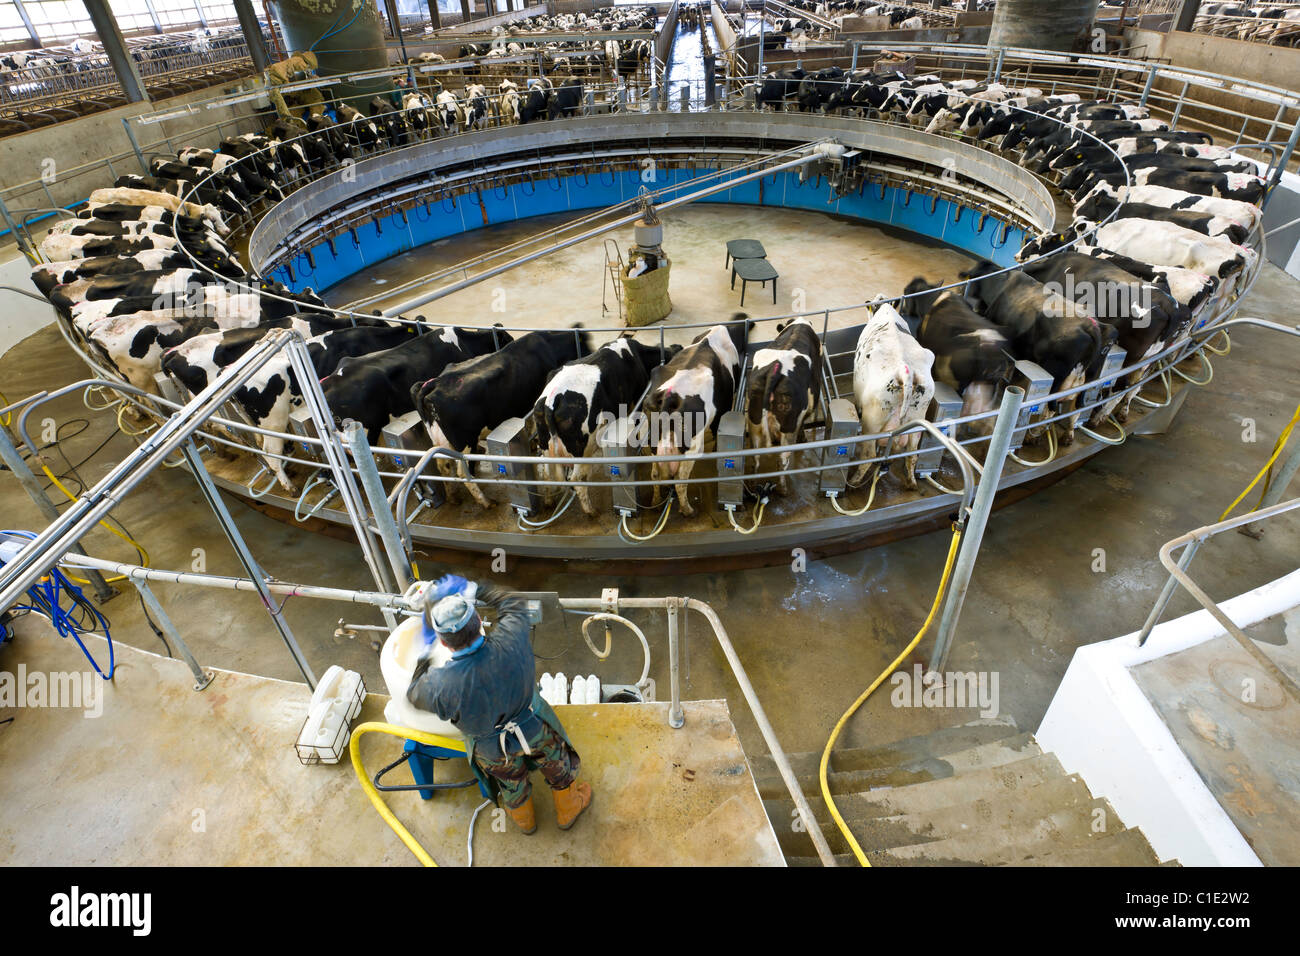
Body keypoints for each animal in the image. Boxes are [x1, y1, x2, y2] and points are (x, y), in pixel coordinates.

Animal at [413, 329, 592, 509]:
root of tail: (433, 384)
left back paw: (453, 497)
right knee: (463, 472)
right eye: (585, 343)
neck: (548, 346)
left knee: (443, 465)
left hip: (440, 440)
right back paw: (485, 501)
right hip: (466, 442)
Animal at [527, 335, 676, 515]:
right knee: (577, 480)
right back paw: (591, 511)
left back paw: (549, 501)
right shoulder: (636, 403)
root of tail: (552, 399)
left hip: (546, 446)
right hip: (581, 450)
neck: (636, 355)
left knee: (546, 473)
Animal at [642, 319, 748, 515]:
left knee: (655, 474)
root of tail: (669, 395)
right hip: (692, 446)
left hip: (653, 439)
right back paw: (688, 511)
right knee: (681, 480)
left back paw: (656, 502)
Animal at [748, 319, 816, 494]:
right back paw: (784, 489)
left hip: (754, 421)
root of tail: (774, 370)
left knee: (755, 457)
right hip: (788, 426)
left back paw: (753, 484)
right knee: (783, 458)